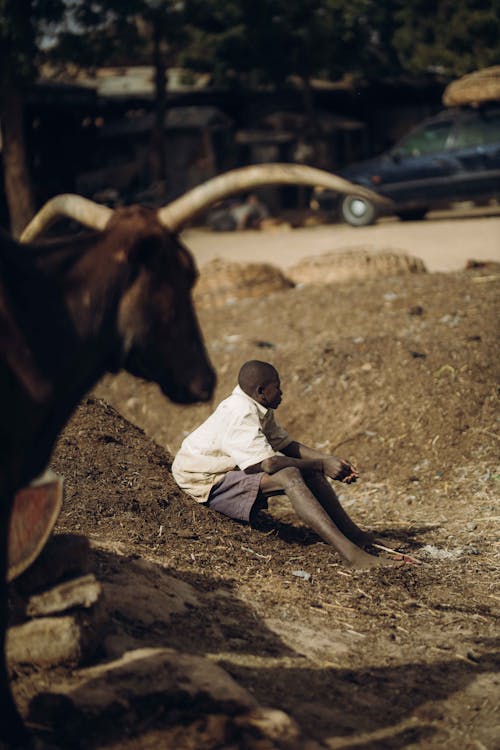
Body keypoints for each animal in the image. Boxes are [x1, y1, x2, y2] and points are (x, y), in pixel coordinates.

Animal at [0, 162, 388, 744]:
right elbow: (274, 460)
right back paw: (357, 555)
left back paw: (362, 542)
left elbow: (288, 445)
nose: (200, 376)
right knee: (286, 476)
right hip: (231, 494)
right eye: (183, 273)